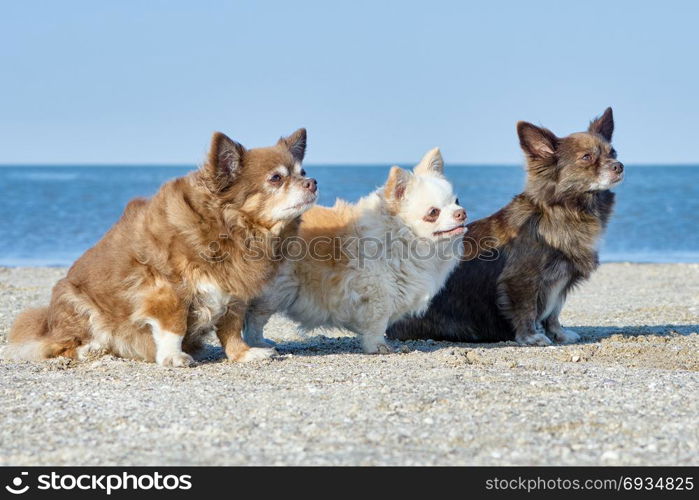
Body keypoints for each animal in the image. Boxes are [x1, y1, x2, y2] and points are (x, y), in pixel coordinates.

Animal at [4, 127, 318, 366]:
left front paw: (242, 354)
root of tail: (48, 322)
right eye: (276, 178)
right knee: (57, 346)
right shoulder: (166, 289)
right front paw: (173, 357)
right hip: (78, 305)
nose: (313, 182)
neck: (227, 229)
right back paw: (89, 349)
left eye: (302, 172)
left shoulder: (235, 291)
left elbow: (231, 328)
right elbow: (174, 326)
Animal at [243, 147, 468, 352]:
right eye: (433, 213)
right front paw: (378, 347)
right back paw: (259, 345)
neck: (402, 237)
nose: (462, 213)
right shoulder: (379, 296)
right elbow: (377, 325)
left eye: (457, 201)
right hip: (273, 293)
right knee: (254, 321)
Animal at [392, 108, 628, 346]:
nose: (619, 166)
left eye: (613, 153)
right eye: (587, 157)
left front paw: (558, 333)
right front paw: (531, 336)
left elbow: (554, 311)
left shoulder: (560, 283)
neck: (562, 211)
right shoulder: (521, 280)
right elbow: (526, 310)